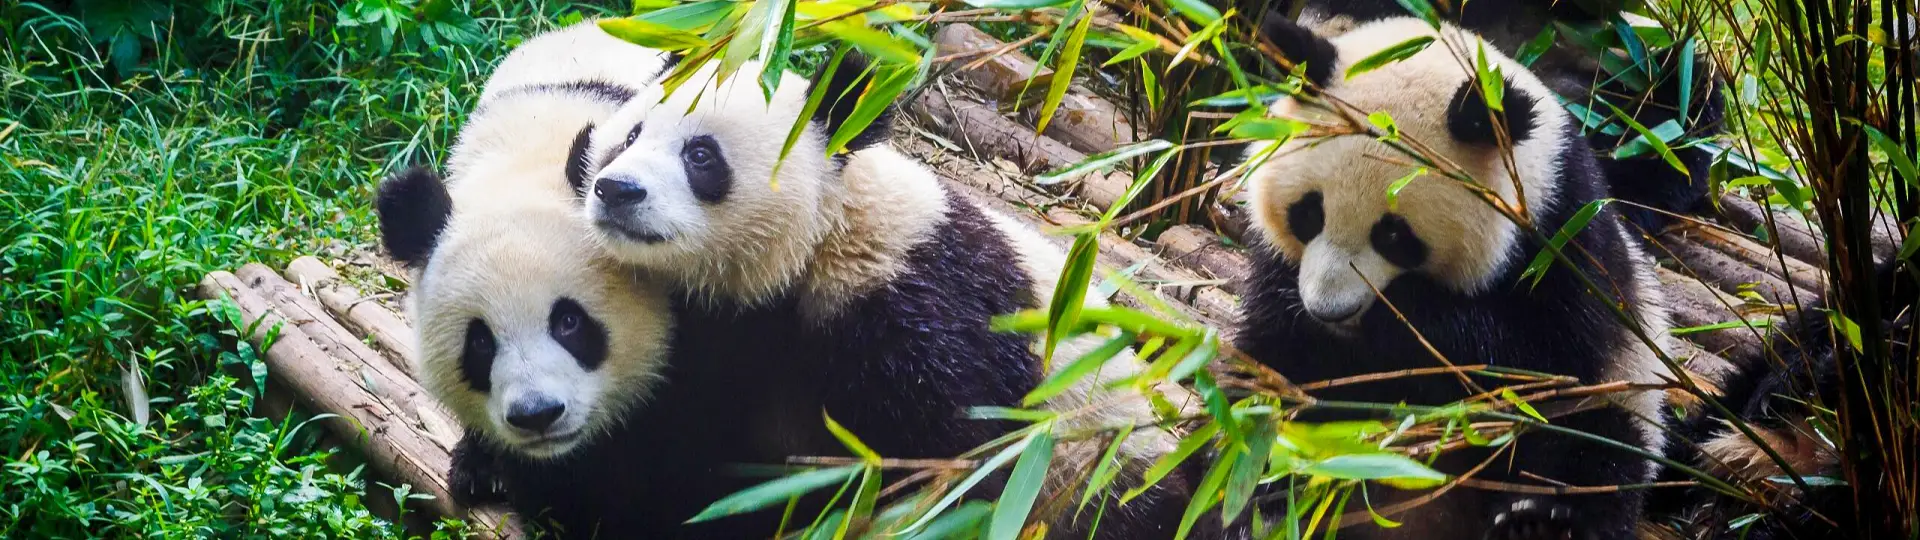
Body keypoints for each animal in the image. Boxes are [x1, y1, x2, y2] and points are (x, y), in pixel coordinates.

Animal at [573, 53, 1198, 537]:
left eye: (700, 155)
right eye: (630, 136)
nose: (616, 190)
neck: (821, 239)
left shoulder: (917, 308)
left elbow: (948, 464)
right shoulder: (722, 335)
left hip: (1100, 460)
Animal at [1232, 17, 1676, 540]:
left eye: (1394, 235)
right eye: (1308, 212)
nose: (1330, 310)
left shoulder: (1565, 245)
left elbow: (1533, 358)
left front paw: (1405, 317)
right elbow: (1276, 368)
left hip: (1625, 393)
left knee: (1591, 449)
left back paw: (1536, 520)